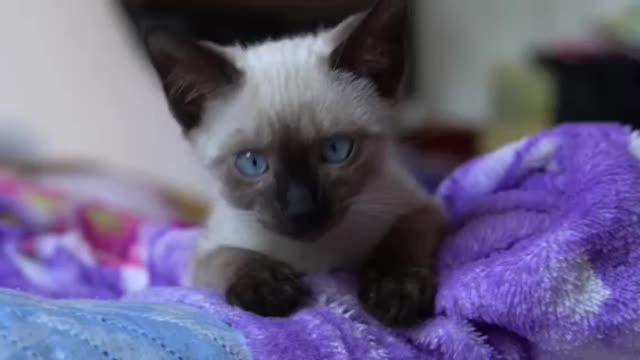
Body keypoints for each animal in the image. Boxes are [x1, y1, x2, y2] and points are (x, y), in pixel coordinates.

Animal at [145, 0, 444, 326]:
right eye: (252, 163)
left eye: (337, 150)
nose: (302, 210)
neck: (315, 261)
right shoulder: (203, 257)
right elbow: (231, 256)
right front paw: (268, 289)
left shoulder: (422, 206)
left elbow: (399, 239)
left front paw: (395, 290)